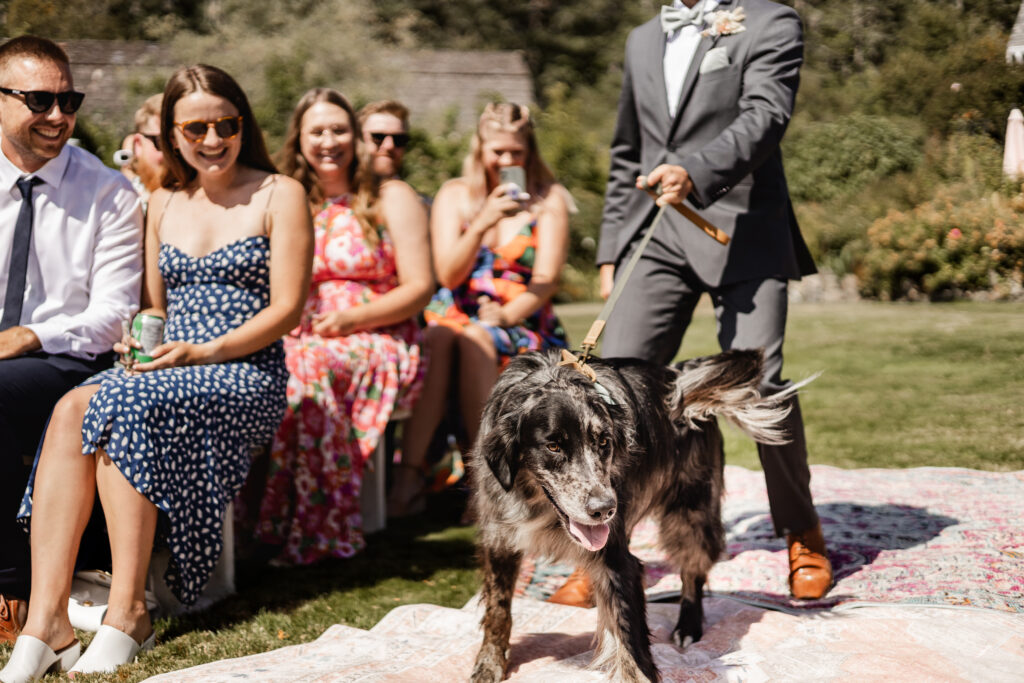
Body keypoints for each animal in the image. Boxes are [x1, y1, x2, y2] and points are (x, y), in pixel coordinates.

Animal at [468, 350, 802, 679]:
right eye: (553, 446)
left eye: (603, 442)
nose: (604, 509)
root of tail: (676, 373)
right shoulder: (499, 540)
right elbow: (498, 610)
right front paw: (489, 664)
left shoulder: (617, 558)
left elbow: (631, 647)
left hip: (690, 515)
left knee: (692, 570)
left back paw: (688, 626)